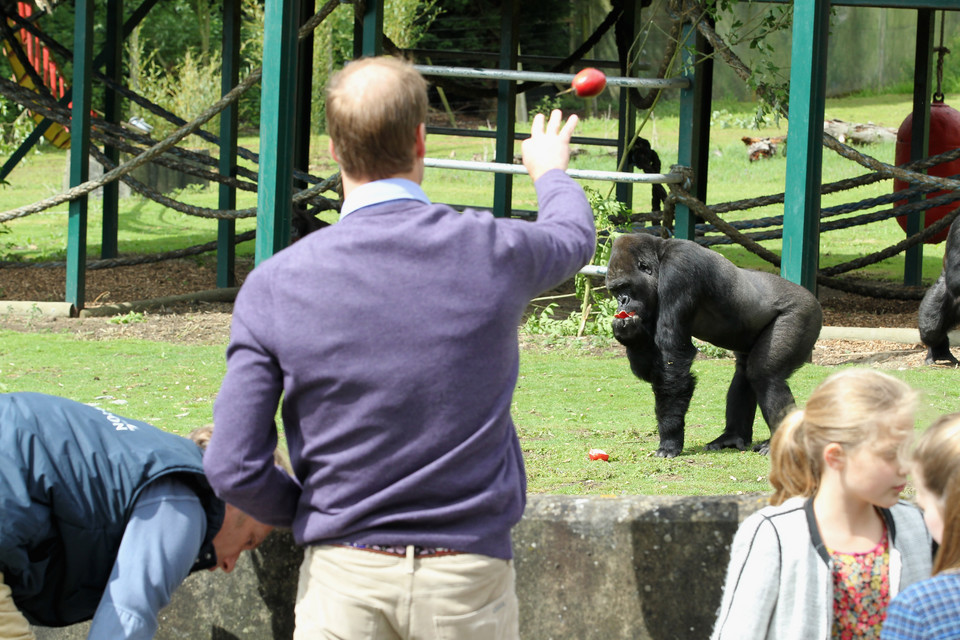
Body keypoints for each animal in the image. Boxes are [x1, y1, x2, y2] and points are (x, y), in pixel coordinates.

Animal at [608, 232, 824, 458]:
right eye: (615, 291)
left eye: (625, 286)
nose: (622, 302)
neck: (660, 256)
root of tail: (813, 298)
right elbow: (652, 367)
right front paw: (629, 334)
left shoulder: (678, 271)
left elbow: (672, 357)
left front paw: (670, 440)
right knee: (744, 372)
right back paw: (733, 436)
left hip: (803, 312)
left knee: (766, 375)